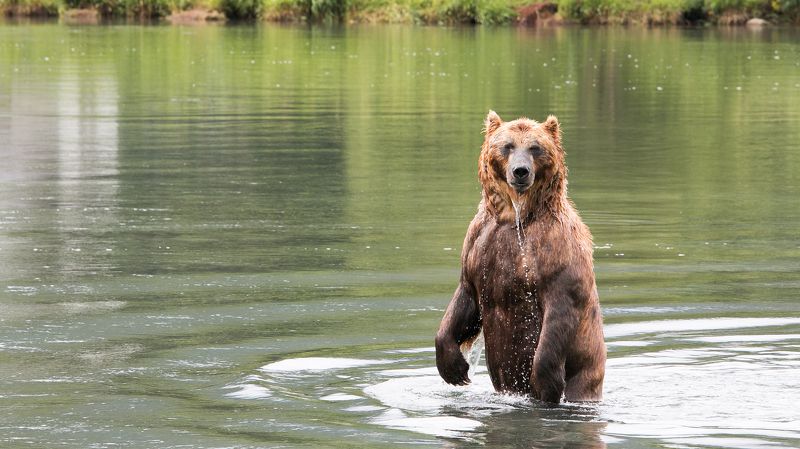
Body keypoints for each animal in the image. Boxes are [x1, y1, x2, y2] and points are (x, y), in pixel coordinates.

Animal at [435, 111, 605, 403]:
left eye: (535, 147)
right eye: (507, 146)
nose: (520, 171)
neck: (514, 217)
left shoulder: (556, 252)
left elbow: (559, 313)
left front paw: (545, 383)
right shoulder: (479, 246)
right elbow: (465, 299)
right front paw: (455, 368)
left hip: (586, 370)